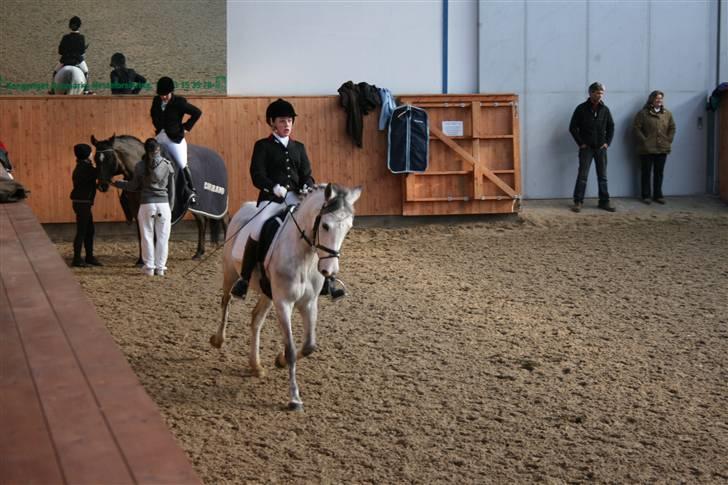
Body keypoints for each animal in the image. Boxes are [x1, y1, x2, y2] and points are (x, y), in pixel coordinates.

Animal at [91, 134, 229, 262]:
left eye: (110, 158)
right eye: (95, 159)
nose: (102, 186)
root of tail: (217, 156)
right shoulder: (136, 208)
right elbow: (141, 232)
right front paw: (141, 260)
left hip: (218, 202)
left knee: (225, 218)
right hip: (198, 206)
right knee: (202, 222)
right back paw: (199, 253)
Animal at [210, 183, 362, 411]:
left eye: (348, 228)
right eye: (325, 226)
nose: (330, 271)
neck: (304, 256)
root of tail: (245, 207)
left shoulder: (309, 304)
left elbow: (308, 346)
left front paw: (279, 361)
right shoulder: (283, 303)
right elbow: (291, 349)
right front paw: (294, 398)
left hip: (267, 292)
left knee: (256, 319)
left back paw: (256, 365)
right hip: (230, 273)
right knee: (225, 301)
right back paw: (218, 340)